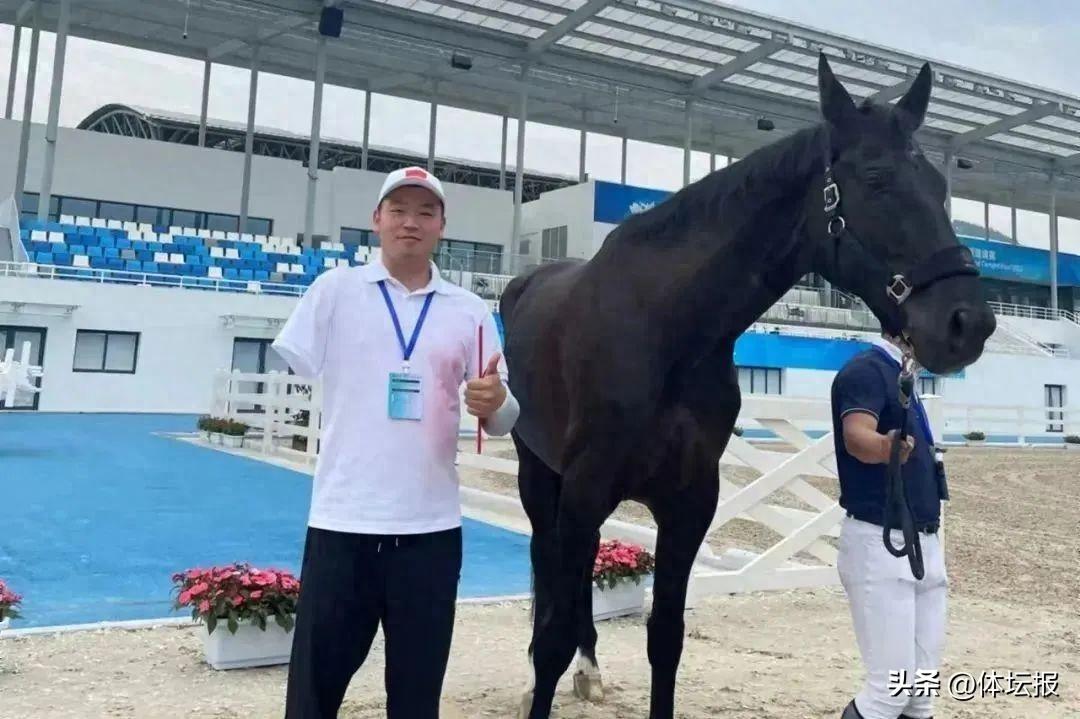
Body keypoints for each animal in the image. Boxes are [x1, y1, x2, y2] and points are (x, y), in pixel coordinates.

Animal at [498, 53, 996, 719]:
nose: (969, 323)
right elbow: (553, 632)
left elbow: (667, 638)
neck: (667, 331)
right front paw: (544, 673)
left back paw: (592, 670)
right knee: (545, 564)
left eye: (940, 187)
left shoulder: (689, 502)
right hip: (539, 473)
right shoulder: (584, 488)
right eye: (876, 178)